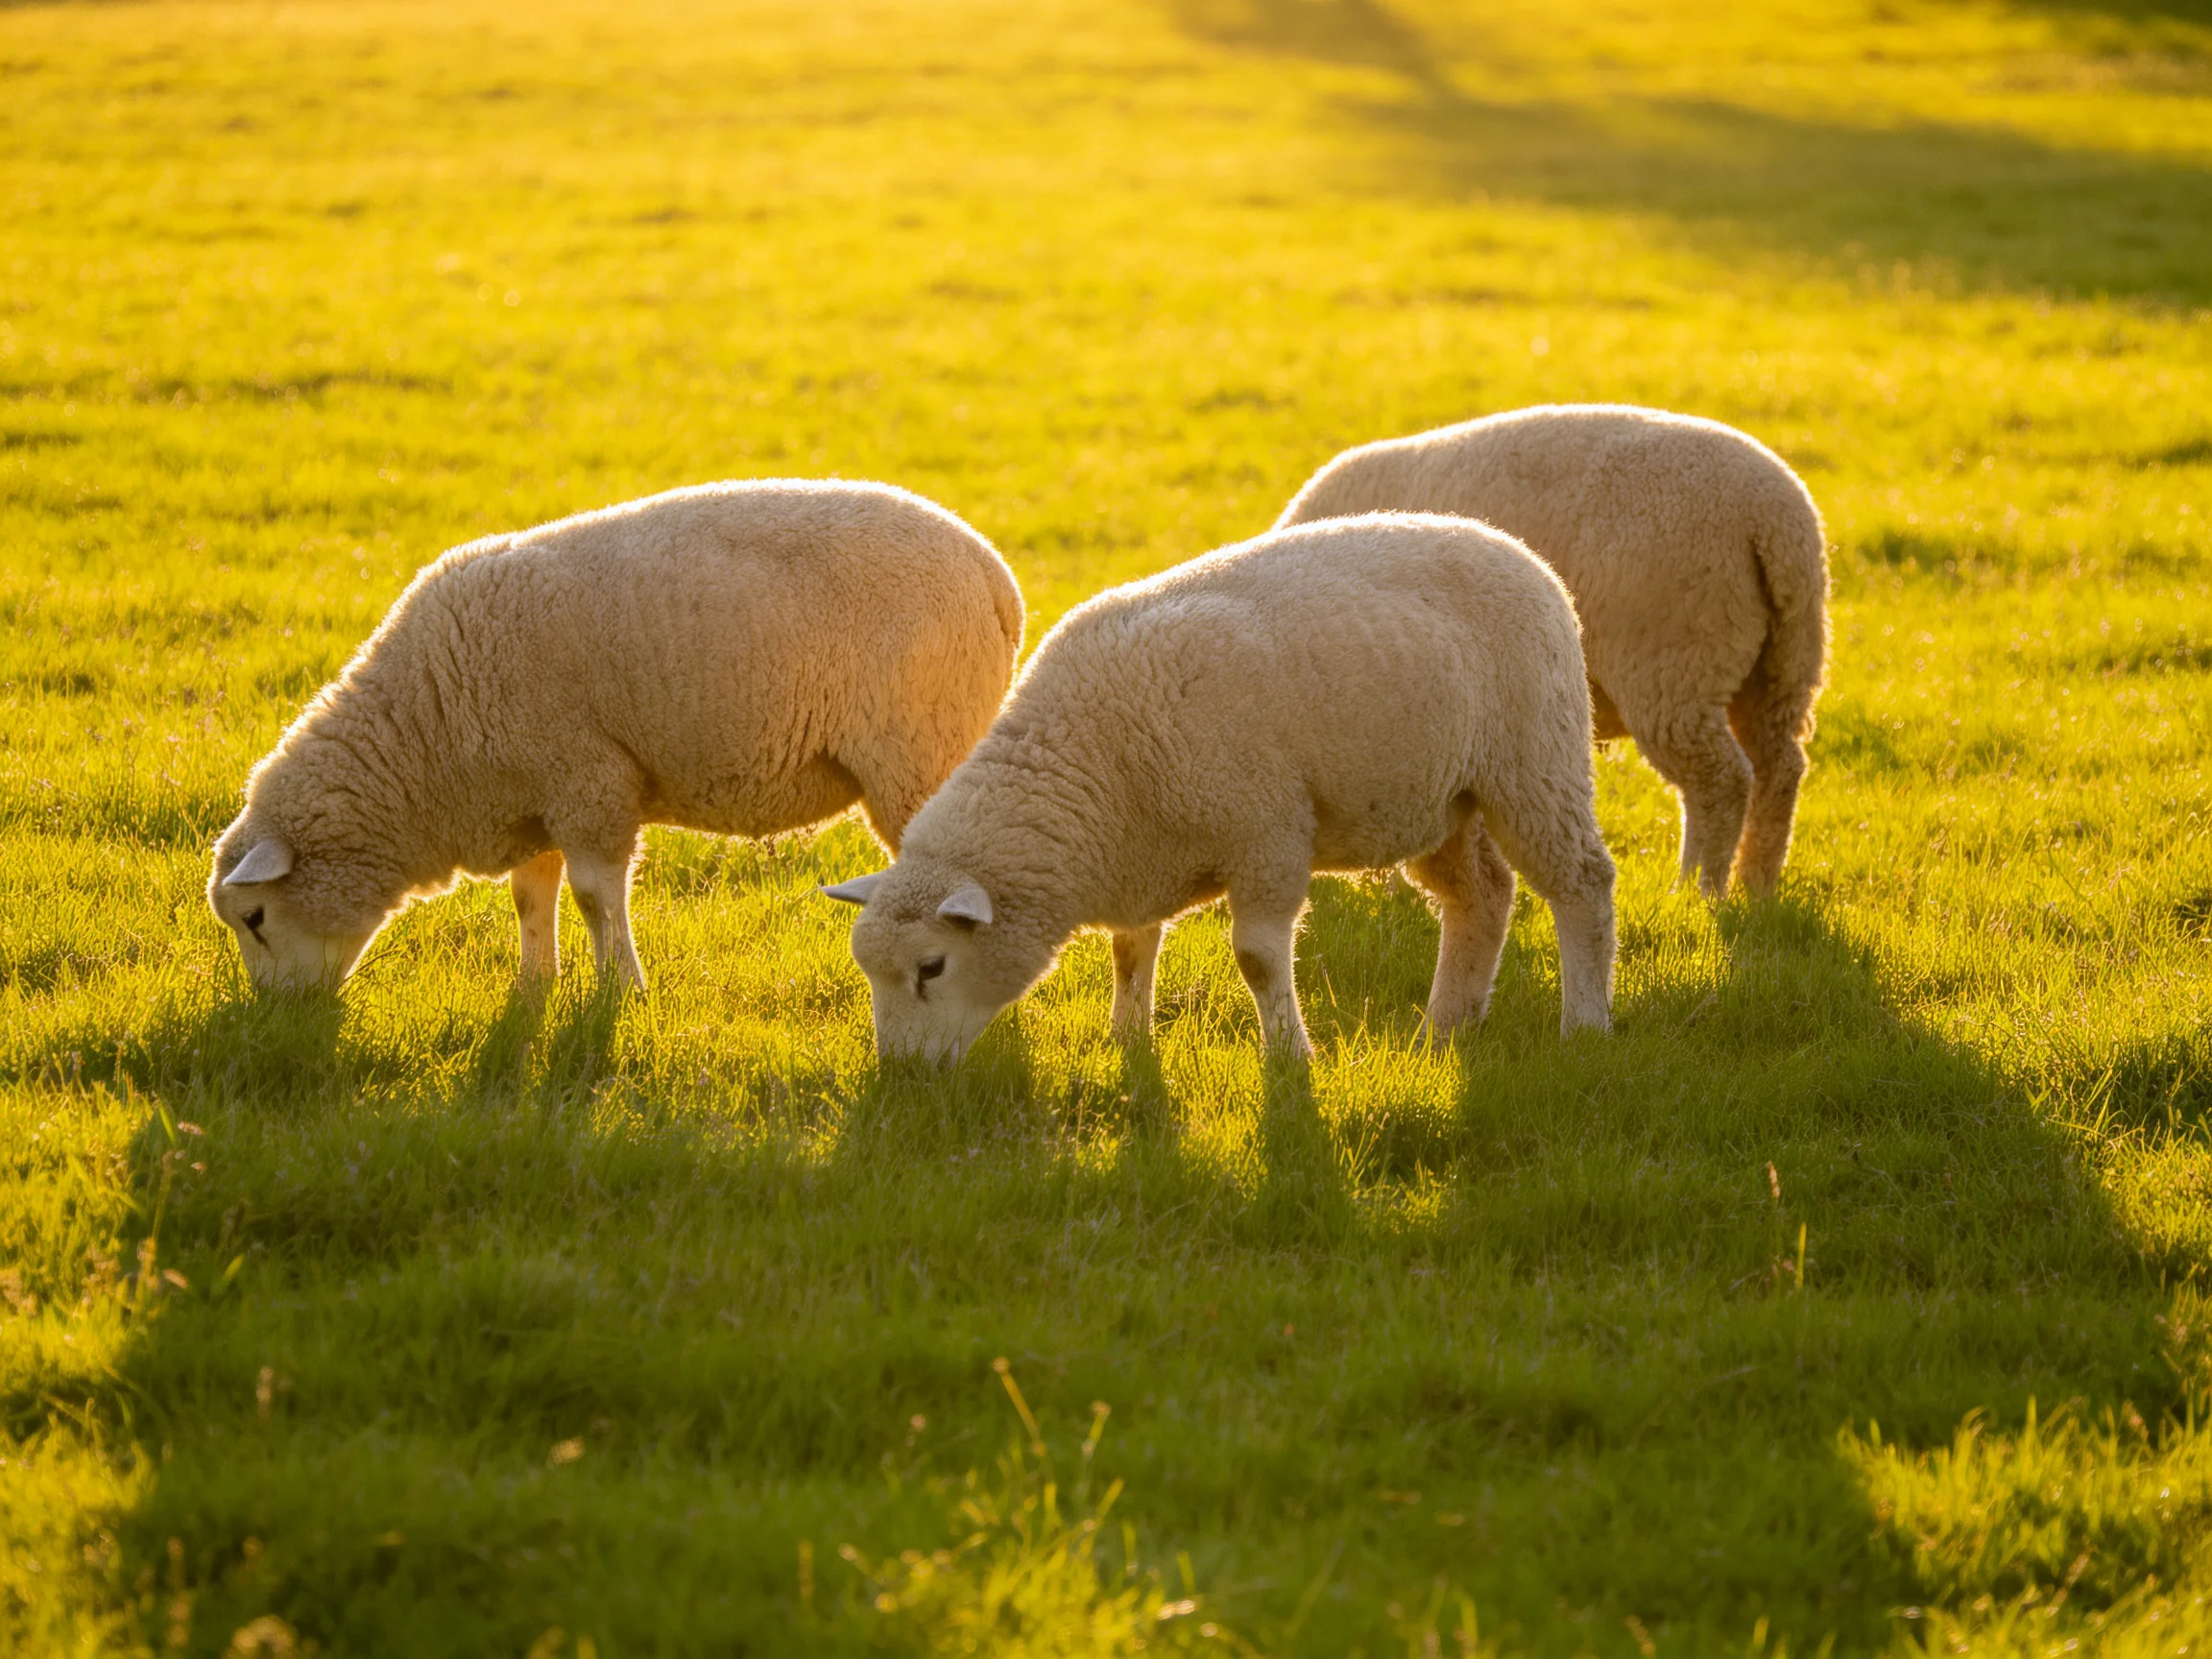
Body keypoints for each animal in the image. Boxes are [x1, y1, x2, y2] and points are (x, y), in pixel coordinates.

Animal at [208, 480, 1024, 992]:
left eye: (254, 917)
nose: (277, 1017)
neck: (426, 727)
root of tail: (994, 577)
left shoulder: (589, 780)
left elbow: (597, 896)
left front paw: (620, 989)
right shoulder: (531, 793)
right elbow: (531, 896)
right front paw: (535, 983)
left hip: (920, 748)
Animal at [821, 512, 1616, 1063]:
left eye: (931, 967)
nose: (900, 1074)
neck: (1092, 762)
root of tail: (1511, 547)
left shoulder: (1267, 833)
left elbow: (1258, 959)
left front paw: (1290, 1057)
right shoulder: (1138, 856)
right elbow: (1131, 949)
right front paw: (1127, 1039)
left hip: (1534, 761)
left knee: (1582, 882)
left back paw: (1585, 1024)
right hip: (1439, 799)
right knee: (1480, 896)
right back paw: (1445, 1026)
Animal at [1275, 405, 1828, 898]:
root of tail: (1775, 521)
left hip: (1676, 663)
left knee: (1721, 781)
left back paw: (1697, 890)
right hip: (1782, 664)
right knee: (1780, 768)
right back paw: (1757, 884)